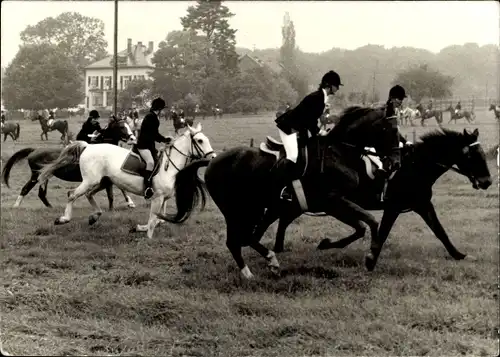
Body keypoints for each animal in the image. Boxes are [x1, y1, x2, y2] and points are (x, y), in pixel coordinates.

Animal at [1, 119, 136, 209]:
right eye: (121, 127)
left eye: (128, 126)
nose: (133, 138)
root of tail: (34, 150)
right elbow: (119, 189)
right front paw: (130, 202)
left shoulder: (108, 177)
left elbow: (118, 190)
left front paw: (129, 202)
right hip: (36, 175)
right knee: (26, 189)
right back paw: (16, 206)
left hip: (45, 176)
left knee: (41, 193)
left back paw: (50, 207)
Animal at [270, 128, 492, 270]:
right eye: (473, 156)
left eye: (483, 154)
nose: (487, 181)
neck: (415, 166)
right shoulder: (393, 207)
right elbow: (383, 233)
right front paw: (370, 260)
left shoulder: (422, 204)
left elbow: (440, 231)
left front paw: (458, 254)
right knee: (280, 216)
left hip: (305, 202)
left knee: (283, 218)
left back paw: (280, 248)